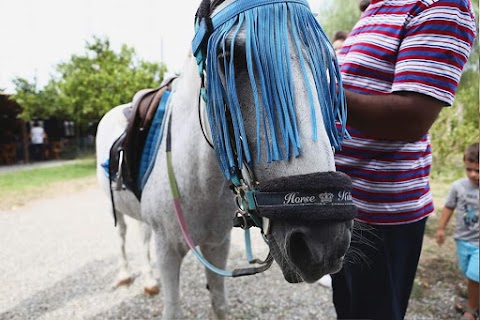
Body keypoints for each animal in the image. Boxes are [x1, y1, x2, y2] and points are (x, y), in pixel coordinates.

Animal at [96, 1, 356, 318]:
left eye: (325, 63)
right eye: (227, 57)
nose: (323, 243)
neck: (197, 181)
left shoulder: (217, 246)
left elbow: (219, 303)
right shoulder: (167, 250)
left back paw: (148, 279)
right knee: (122, 234)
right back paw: (125, 275)